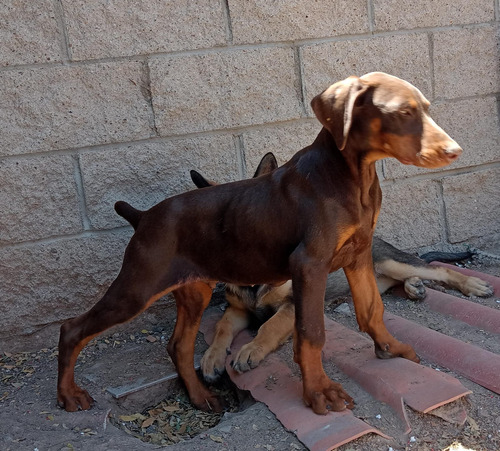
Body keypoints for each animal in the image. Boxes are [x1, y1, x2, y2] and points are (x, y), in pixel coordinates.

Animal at [56, 72, 462, 414]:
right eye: (404, 112)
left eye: (426, 108)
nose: (455, 151)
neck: (352, 176)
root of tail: (142, 217)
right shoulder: (309, 265)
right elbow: (310, 333)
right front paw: (319, 392)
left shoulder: (357, 256)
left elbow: (371, 309)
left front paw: (391, 350)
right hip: (138, 286)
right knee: (72, 329)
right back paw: (68, 395)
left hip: (195, 290)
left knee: (179, 346)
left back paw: (202, 397)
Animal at [189, 153, 494, 382]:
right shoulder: (237, 309)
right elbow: (222, 327)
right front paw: (212, 357)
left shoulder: (293, 305)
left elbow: (269, 325)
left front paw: (251, 348)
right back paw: (414, 287)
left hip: (392, 261)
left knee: (440, 270)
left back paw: (470, 284)